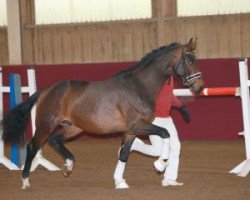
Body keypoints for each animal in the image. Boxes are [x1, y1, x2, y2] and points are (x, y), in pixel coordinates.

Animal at [0, 37, 203, 189]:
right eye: (190, 60)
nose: (199, 87)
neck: (137, 87)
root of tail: (46, 90)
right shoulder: (138, 125)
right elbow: (165, 133)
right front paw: (160, 164)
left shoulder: (130, 131)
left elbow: (124, 154)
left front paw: (120, 182)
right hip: (45, 125)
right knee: (33, 147)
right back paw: (26, 181)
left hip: (74, 128)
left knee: (55, 140)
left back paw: (68, 166)